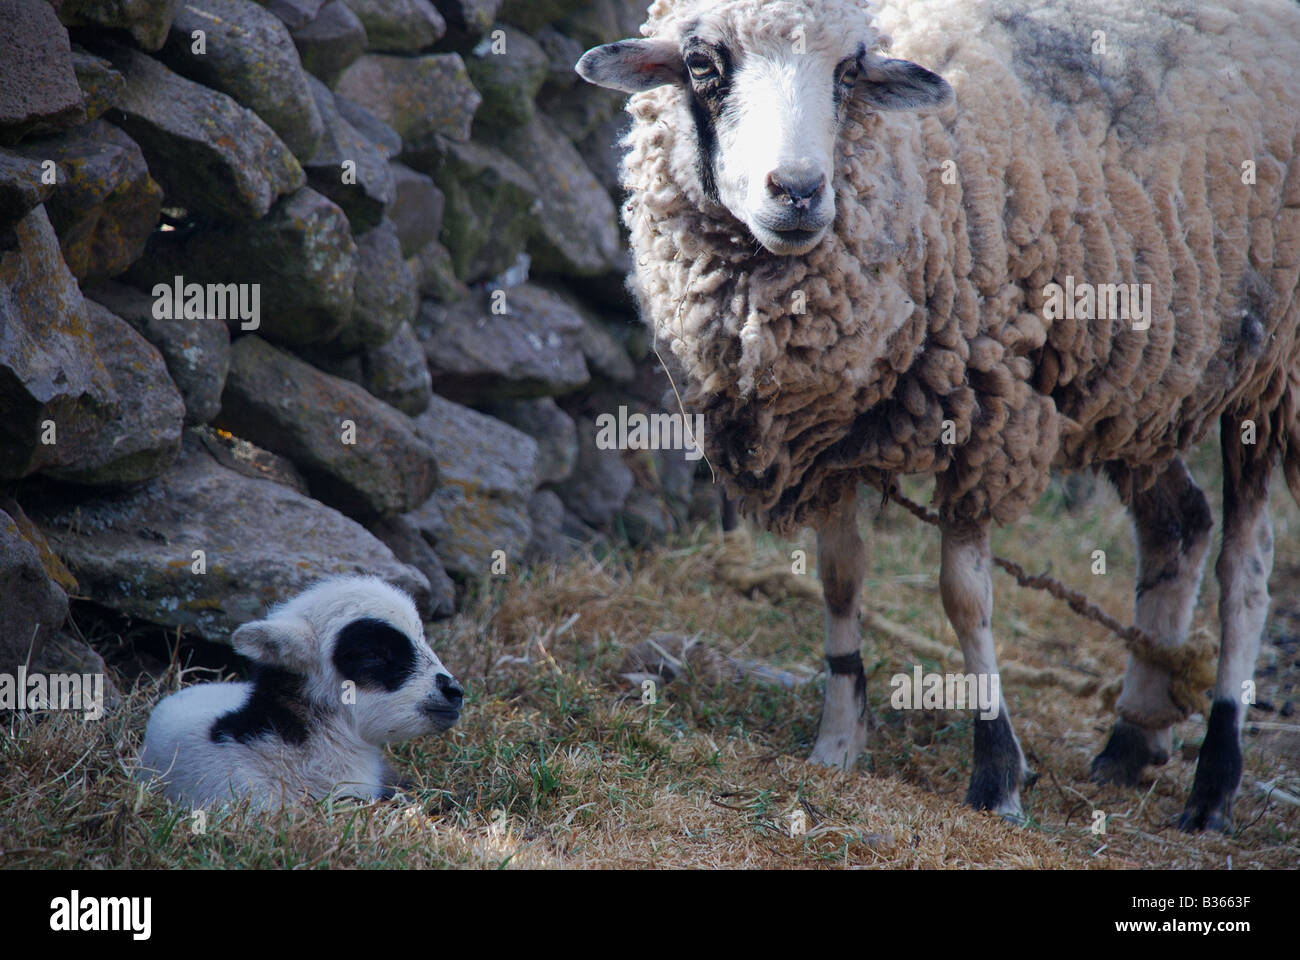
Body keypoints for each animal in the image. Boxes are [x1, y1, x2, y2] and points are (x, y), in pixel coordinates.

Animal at [585, 0, 1300, 832]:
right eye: (702, 66)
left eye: (849, 72)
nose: (797, 191)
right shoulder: (824, 437)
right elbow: (840, 580)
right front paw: (837, 741)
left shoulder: (987, 417)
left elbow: (965, 599)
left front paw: (996, 772)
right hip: (1145, 375)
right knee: (1179, 527)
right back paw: (1133, 737)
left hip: (1268, 370)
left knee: (1246, 568)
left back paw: (1214, 779)